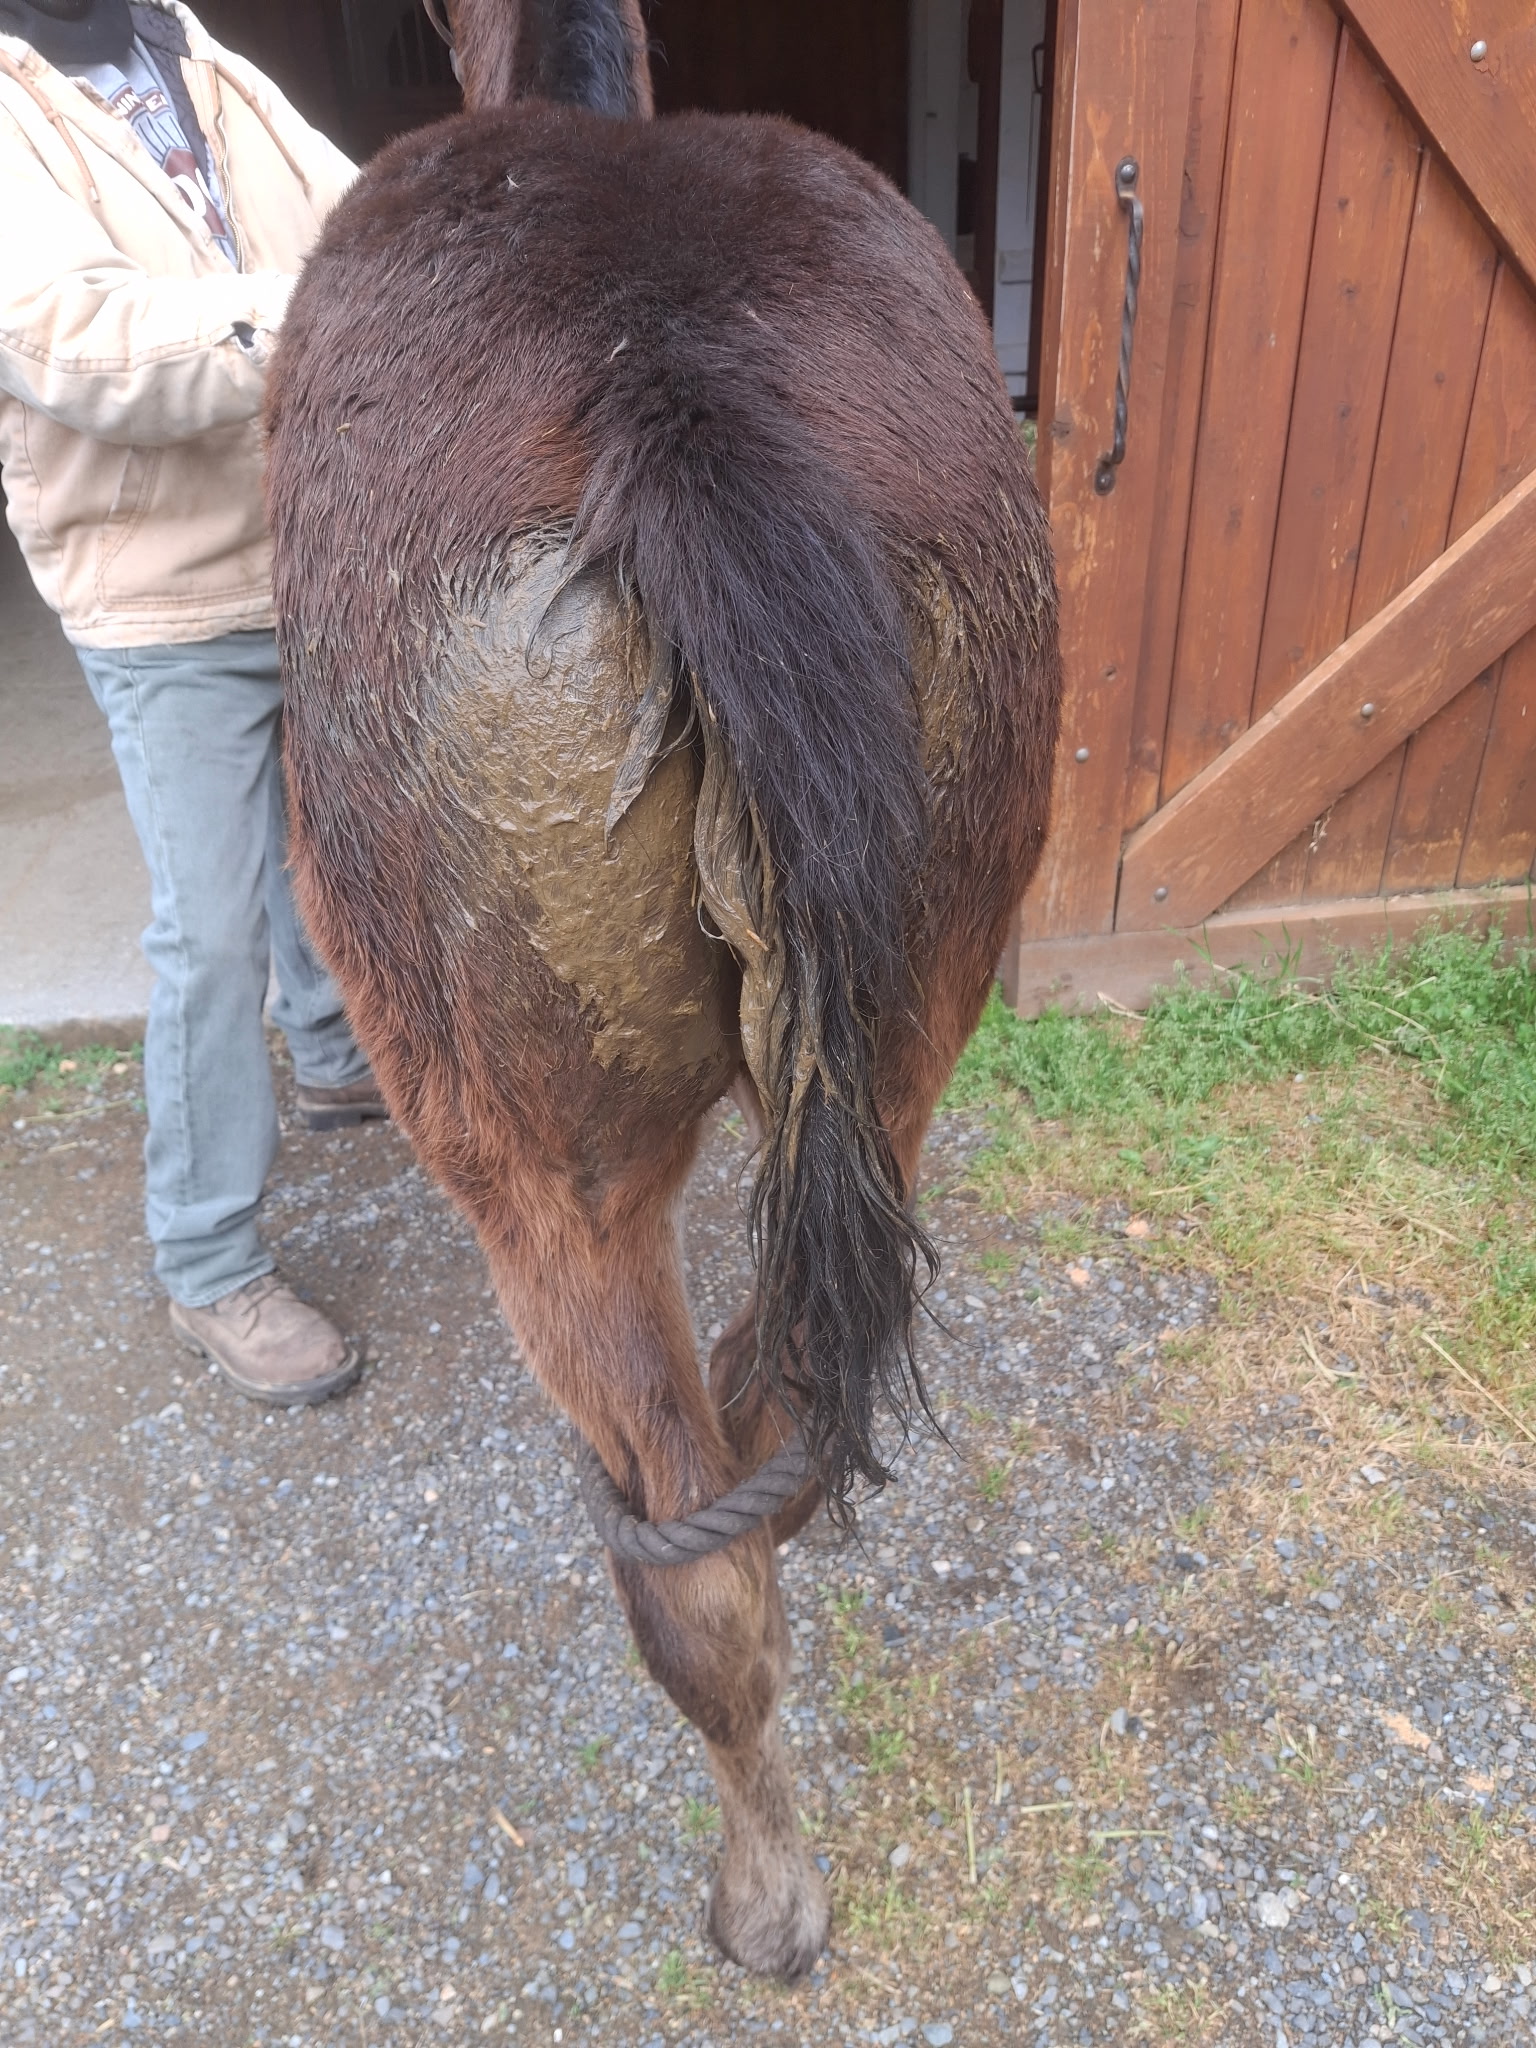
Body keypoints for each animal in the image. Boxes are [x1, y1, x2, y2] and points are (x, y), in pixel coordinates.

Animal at [265, 0, 1060, 1980]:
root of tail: (676, 395)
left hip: (538, 1161)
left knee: (692, 1563)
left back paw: (761, 1896)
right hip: (910, 1018)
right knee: (769, 1429)